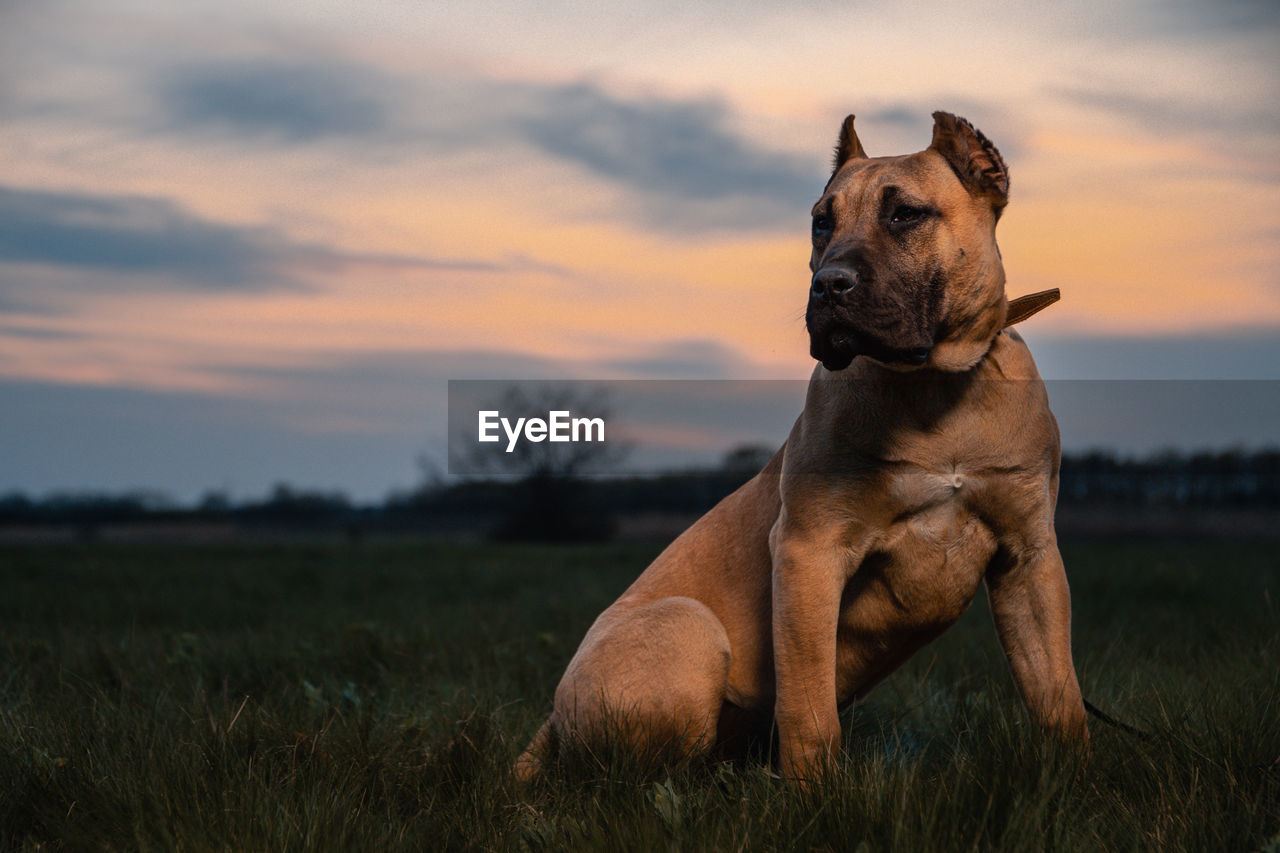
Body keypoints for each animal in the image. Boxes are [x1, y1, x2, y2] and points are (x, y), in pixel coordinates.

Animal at [514, 112, 1085, 783]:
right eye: (821, 222)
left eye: (905, 215)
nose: (828, 285)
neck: (934, 389)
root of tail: (550, 722)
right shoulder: (809, 553)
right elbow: (809, 705)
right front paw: (816, 790)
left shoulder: (1029, 560)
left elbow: (1058, 692)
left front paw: (1075, 774)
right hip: (687, 626)